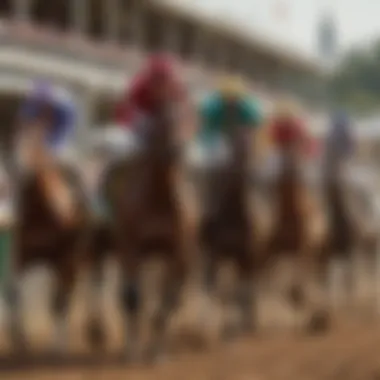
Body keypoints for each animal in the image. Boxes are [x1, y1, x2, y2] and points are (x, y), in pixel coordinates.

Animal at [87, 101, 191, 362]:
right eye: (163, 121)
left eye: (187, 117)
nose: (177, 149)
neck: (159, 198)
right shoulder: (130, 246)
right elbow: (132, 297)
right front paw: (132, 351)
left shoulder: (176, 252)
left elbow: (168, 300)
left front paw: (158, 352)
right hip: (99, 243)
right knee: (98, 279)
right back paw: (96, 331)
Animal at [194, 122, 260, 342]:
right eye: (235, 140)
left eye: (251, 141)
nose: (244, 162)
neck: (233, 212)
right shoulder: (216, 252)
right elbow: (219, 290)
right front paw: (213, 331)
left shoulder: (245, 254)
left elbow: (242, 290)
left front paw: (242, 328)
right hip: (212, 255)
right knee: (210, 285)